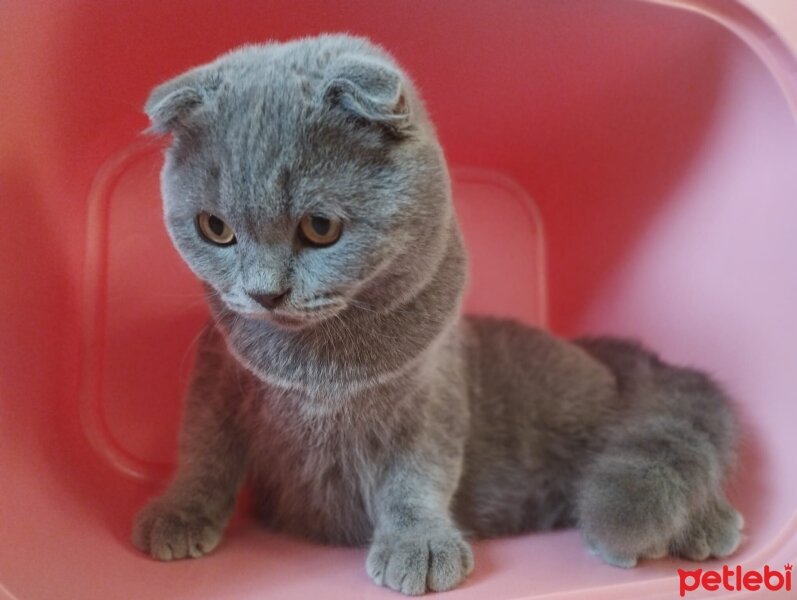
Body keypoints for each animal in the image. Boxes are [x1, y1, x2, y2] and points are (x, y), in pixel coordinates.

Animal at [131, 34, 740, 596]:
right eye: (215, 228)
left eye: (320, 227)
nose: (264, 294)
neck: (317, 366)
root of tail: (603, 356)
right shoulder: (216, 375)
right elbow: (203, 449)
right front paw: (178, 513)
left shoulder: (429, 394)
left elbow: (418, 473)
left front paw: (418, 544)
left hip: (577, 411)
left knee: (644, 435)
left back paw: (707, 522)